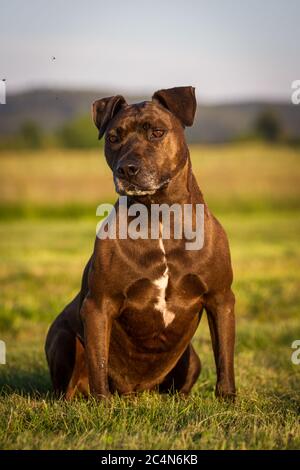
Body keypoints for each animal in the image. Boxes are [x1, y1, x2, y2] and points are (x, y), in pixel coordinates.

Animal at [45, 86, 236, 398]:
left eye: (157, 132)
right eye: (113, 137)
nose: (127, 169)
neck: (159, 215)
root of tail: (137, 391)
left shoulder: (220, 298)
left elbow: (225, 359)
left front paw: (228, 401)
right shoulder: (98, 305)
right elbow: (98, 366)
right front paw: (102, 405)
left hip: (192, 359)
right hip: (63, 338)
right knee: (69, 388)